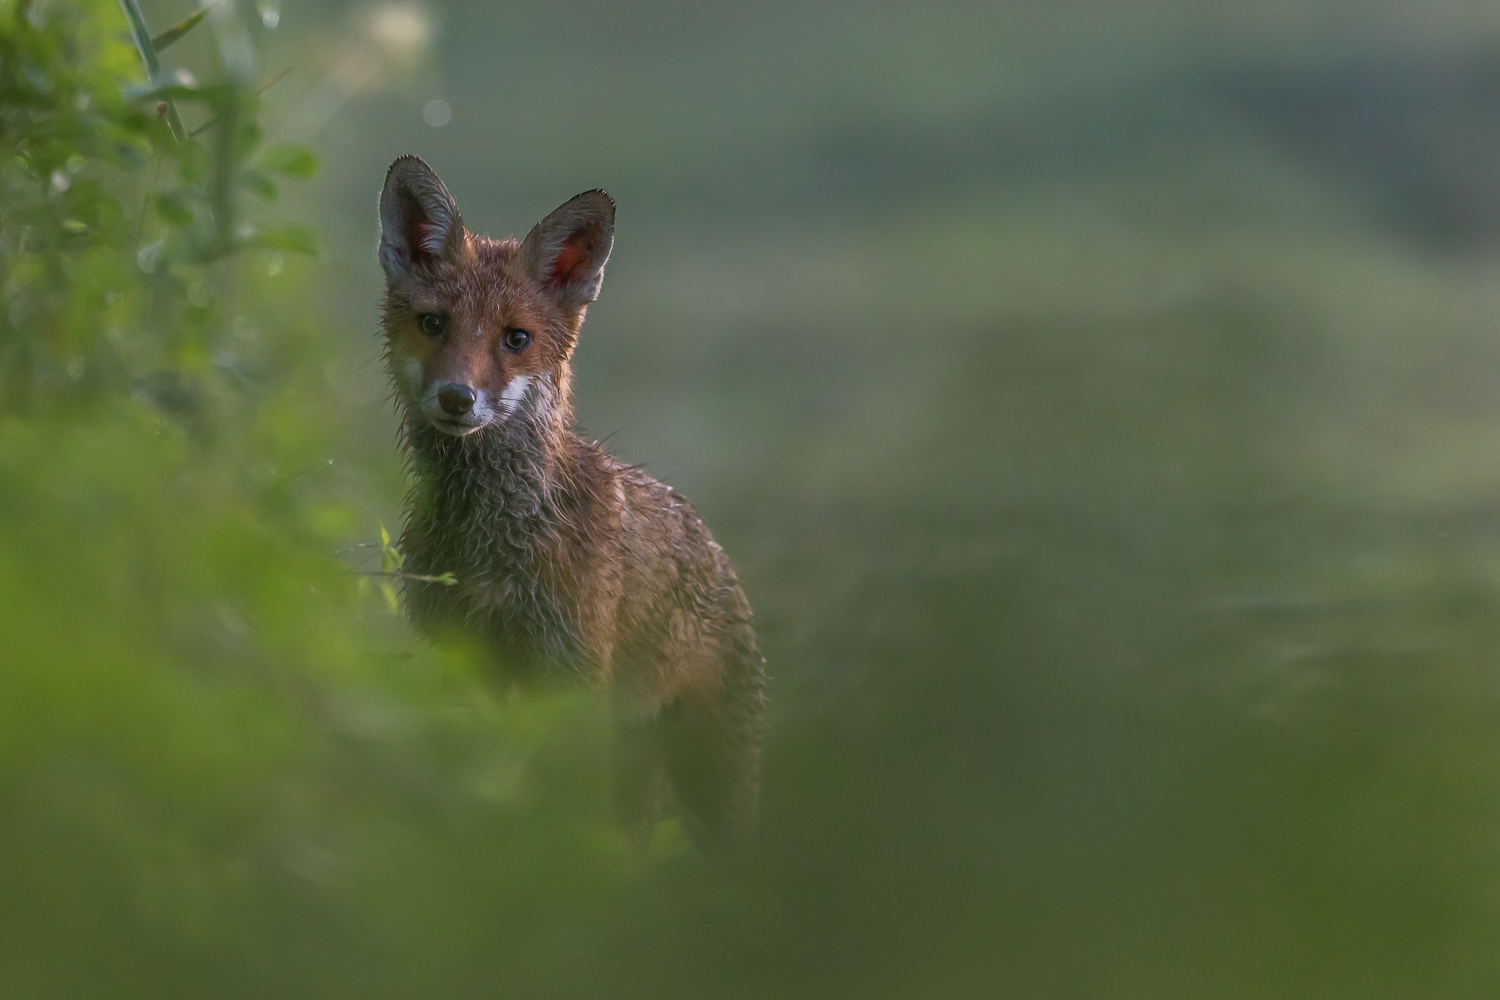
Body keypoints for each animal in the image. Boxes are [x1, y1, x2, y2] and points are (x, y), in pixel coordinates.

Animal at [375, 156, 774, 845]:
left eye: (515, 338)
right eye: (433, 324)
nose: (457, 398)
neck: (493, 541)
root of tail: (715, 550)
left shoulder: (572, 674)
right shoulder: (465, 661)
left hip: (717, 788)